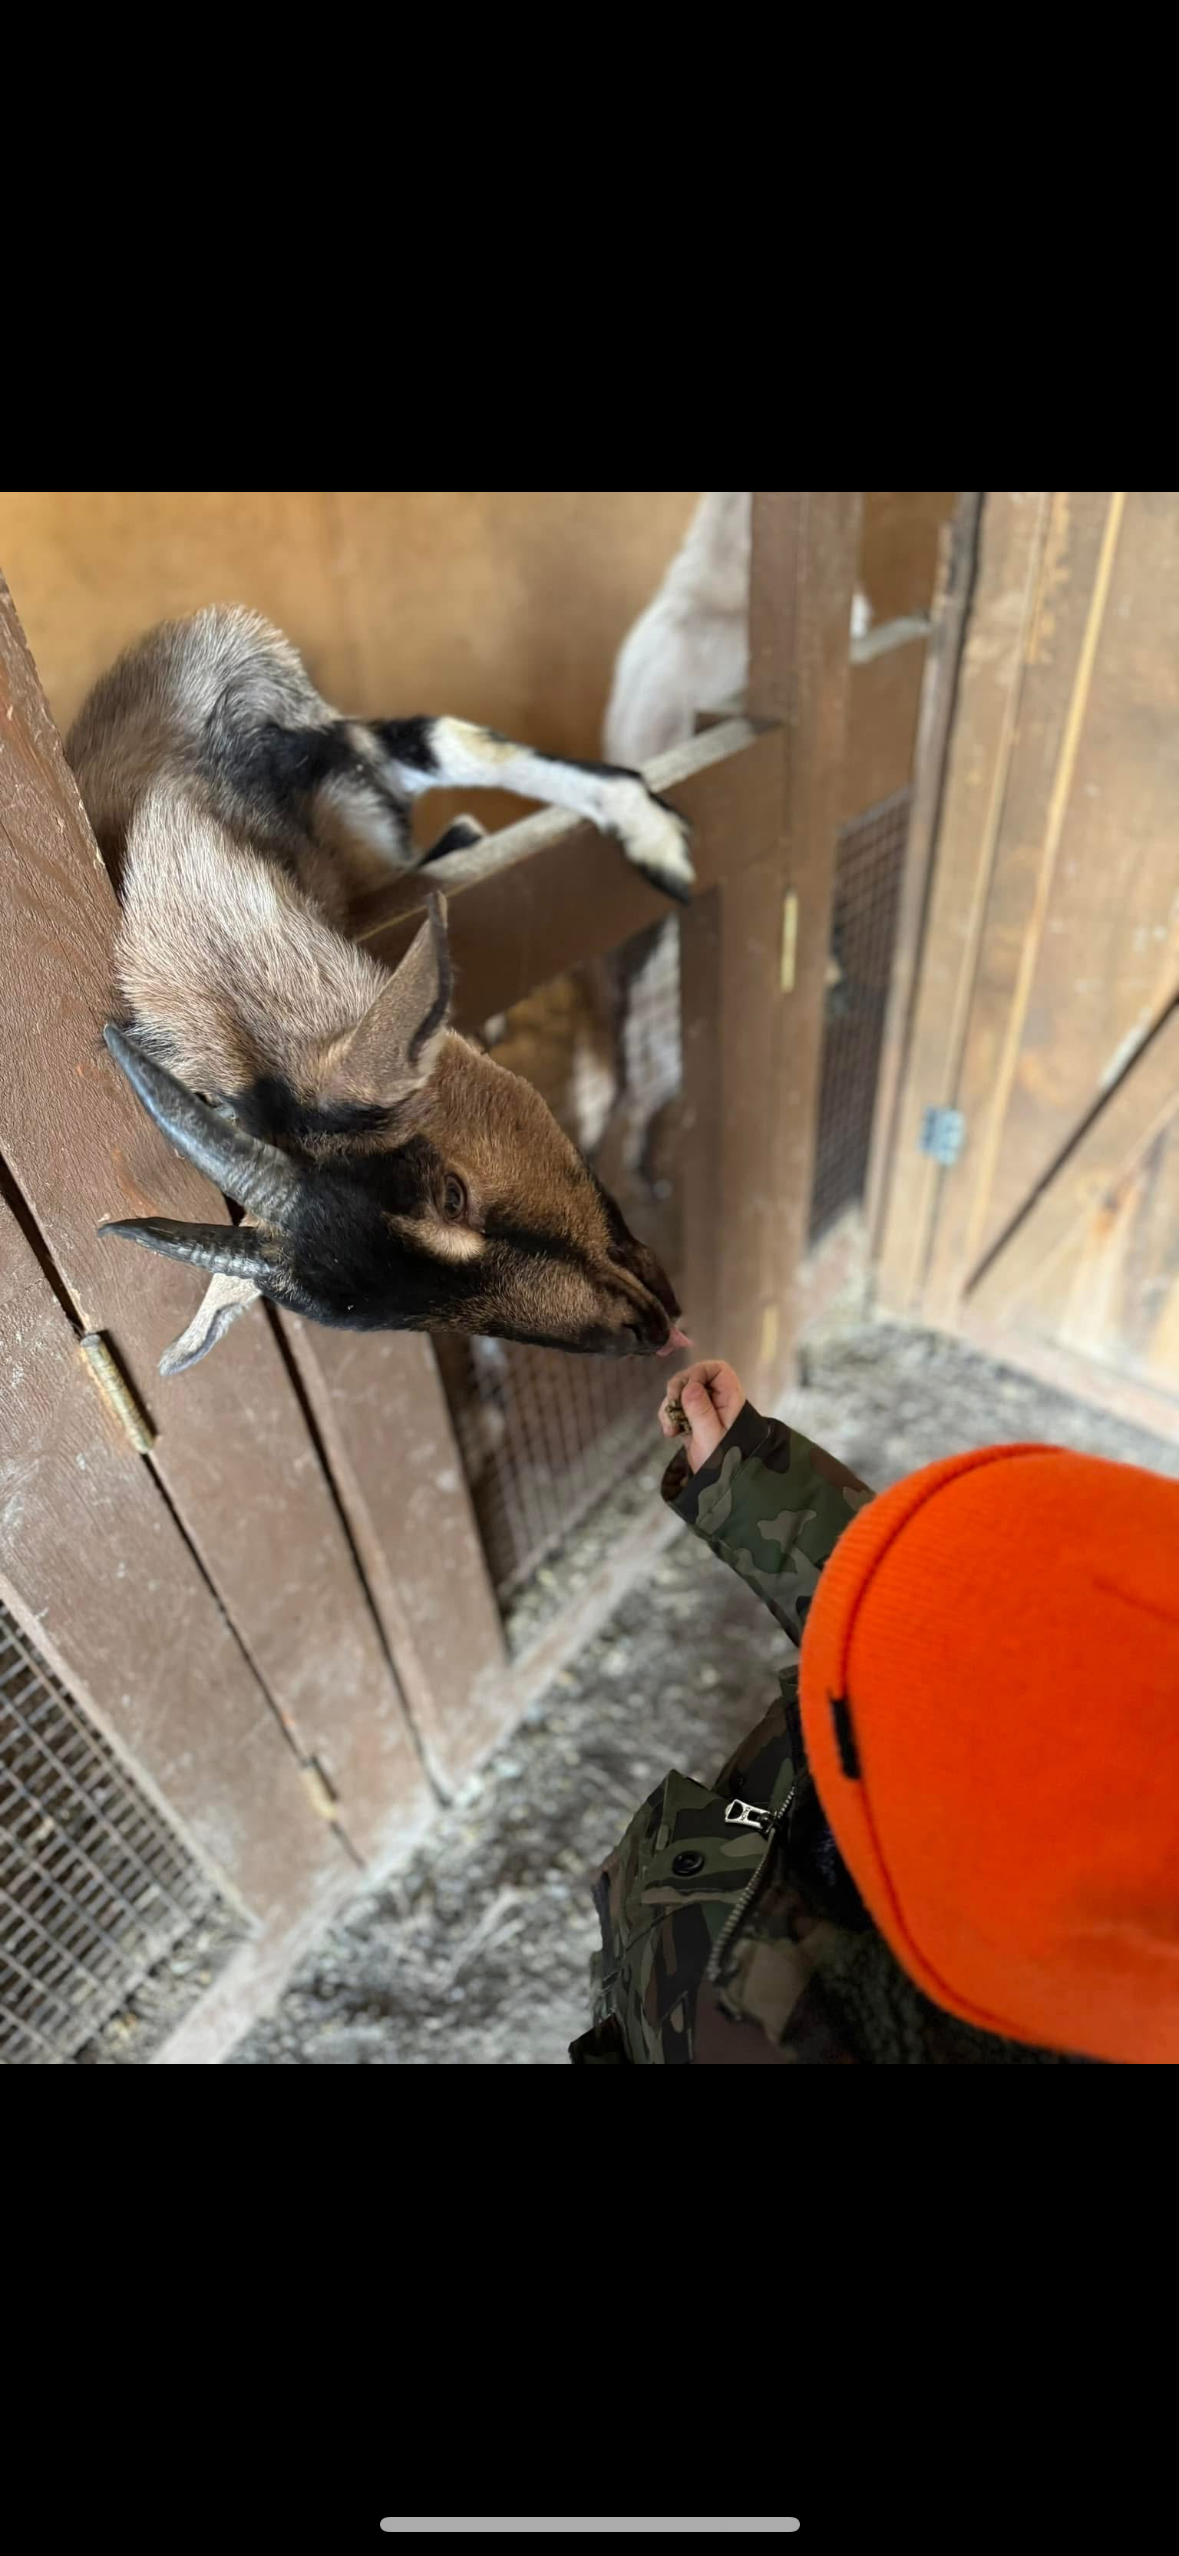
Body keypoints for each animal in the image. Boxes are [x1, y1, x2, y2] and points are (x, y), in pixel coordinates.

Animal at [71, 607, 693, 1377]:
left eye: (451, 1195)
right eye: (393, 1317)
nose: (645, 1330)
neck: (168, 791)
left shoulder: (353, 744)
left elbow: (462, 742)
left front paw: (657, 838)